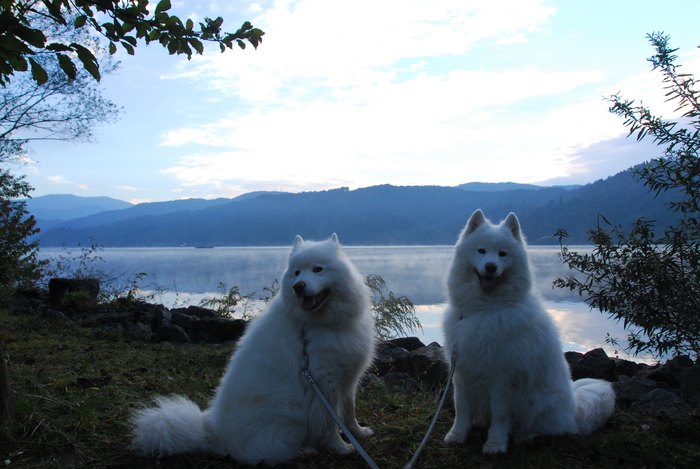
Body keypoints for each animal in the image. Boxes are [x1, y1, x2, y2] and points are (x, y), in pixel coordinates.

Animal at [129, 234, 374, 464]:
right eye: (296, 273)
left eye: (317, 269)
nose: (298, 286)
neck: (316, 325)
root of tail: (214, 434)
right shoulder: (323, 383)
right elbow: (329, 422)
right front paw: (341, 447)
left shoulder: (347, 379)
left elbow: (349, 413)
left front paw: (359, 433)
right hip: (287, 414)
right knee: (265, 452)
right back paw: (305, 450)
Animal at [440, 210, 616, 452]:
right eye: (481, 251)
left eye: (502, 254)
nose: (491, 267)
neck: (484, 310)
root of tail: (574, 410)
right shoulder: (463, 371)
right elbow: (461, 409)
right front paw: (457, 435)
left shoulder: (502, 377)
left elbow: (500, 415)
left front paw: (495, 444)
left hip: (540, 404)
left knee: (556, 429)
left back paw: (528, 436)